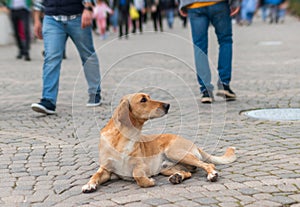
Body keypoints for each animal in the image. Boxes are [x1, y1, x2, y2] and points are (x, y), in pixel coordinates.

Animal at [82, 93, 237, 193]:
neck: (124, 137)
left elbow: (137, 175)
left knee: (208, 165)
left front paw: (148, 181)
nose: (168, 105)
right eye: (143, 100)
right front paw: (89, 185)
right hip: (166, 167)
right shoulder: (105, 169)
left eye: (149, 97)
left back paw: (211, 175)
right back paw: (177, 177)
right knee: (187, 172)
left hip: (175, 152)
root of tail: (194, 144)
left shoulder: (141, 166)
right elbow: (95, 176)